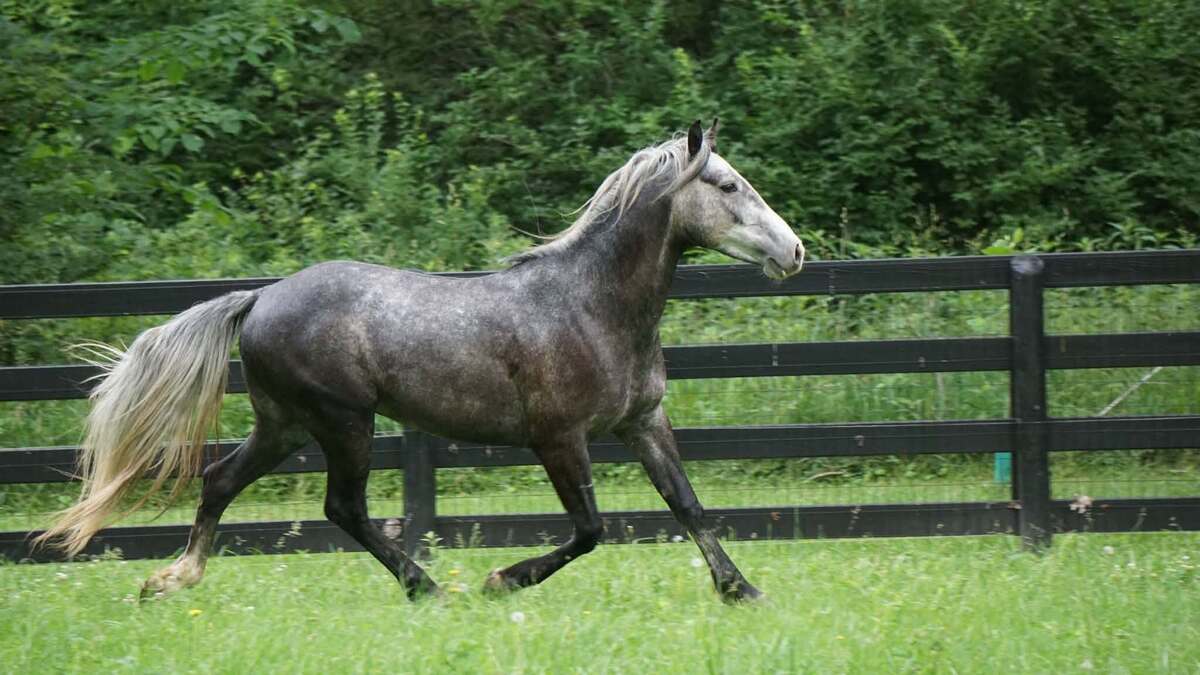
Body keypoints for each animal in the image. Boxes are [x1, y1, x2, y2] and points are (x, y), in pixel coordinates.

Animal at [38, 120, 805, 603]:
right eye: (729, 187)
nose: (794, 251)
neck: (590, 305)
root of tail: (259, 298)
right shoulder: (559, 438)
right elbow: (591, 529)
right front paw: (500, 580)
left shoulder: (643, 422)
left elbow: (688, 504)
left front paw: (741, 590)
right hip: (343, 422)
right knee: (343, 507)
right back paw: (428, 587)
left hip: (284, 424)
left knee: (221, 479)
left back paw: (170, 580)